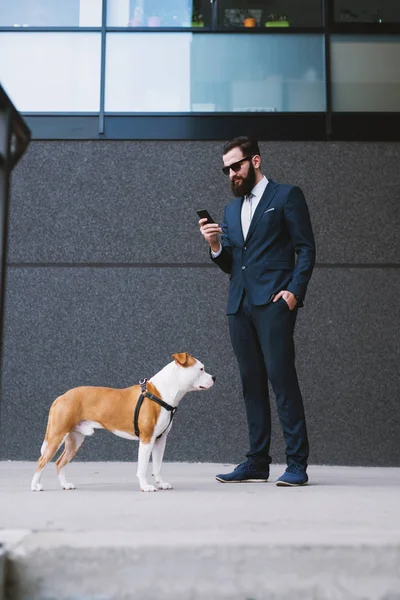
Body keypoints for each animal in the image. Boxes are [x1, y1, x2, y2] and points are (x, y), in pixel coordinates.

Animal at [31, 352, 216, 492]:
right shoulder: (147, 439)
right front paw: (145, 486)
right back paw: (35, 486)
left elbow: (157, 466)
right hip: (57, 435)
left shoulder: (160, 440)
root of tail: (61, 397)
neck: (162, 392)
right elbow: (143, 467)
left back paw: (65, 485)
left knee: (60, 462)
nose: (214, 377)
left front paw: (161, 484)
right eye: (201, 369)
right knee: (42, 460)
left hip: (75, 439)